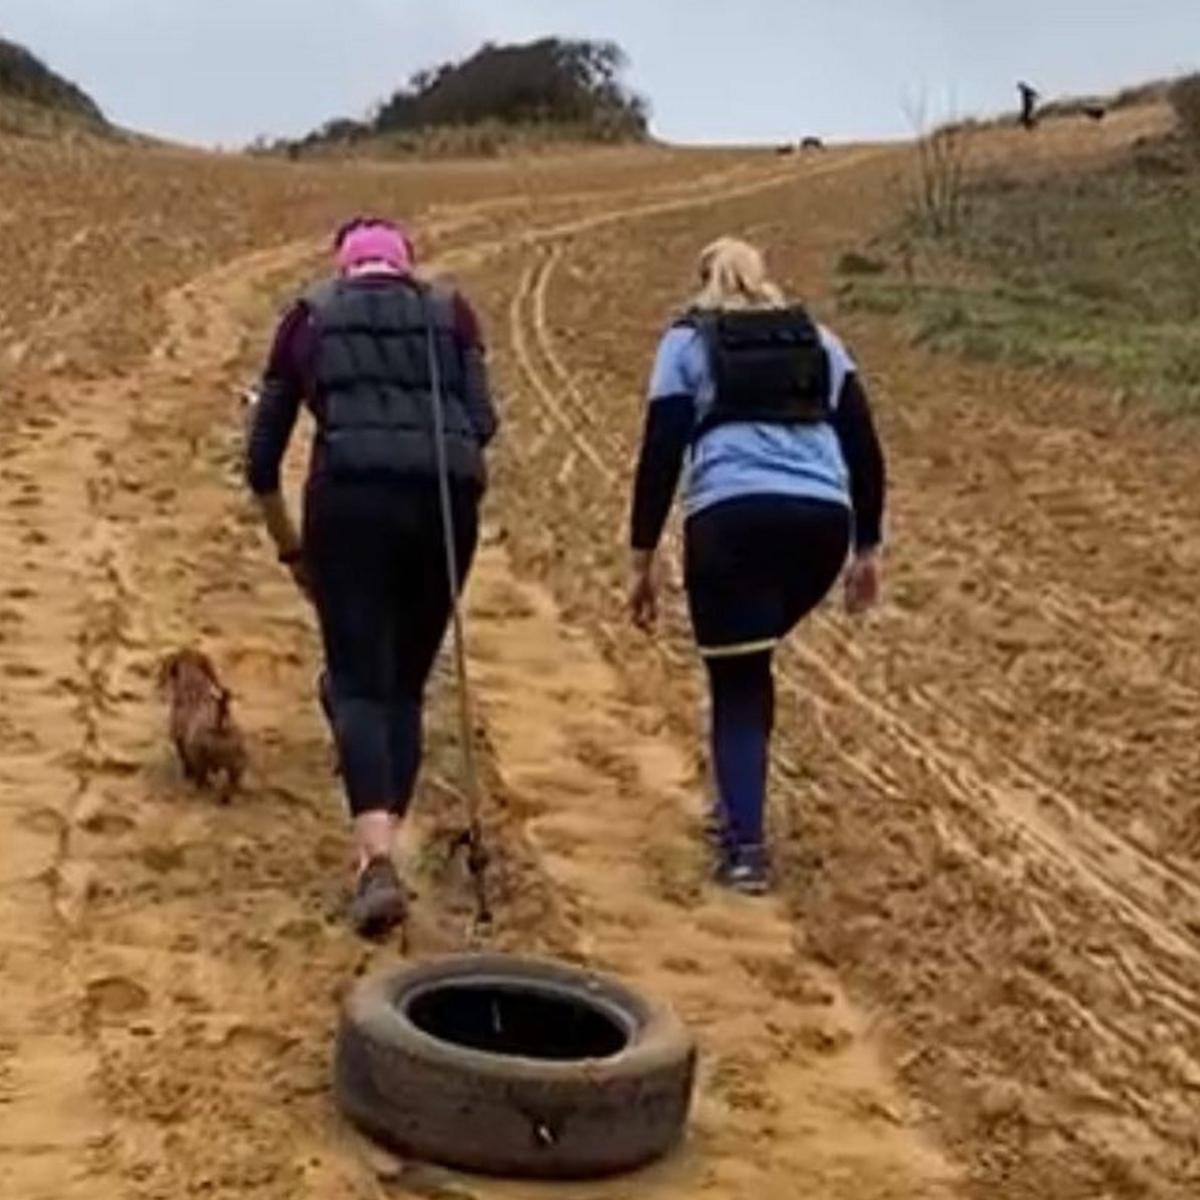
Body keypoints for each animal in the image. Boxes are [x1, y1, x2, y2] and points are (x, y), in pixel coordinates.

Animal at [158, 648, 247, 806]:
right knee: (230, 785)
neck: (193, 685)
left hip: (200, 759)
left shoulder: (179, 739)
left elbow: (185, 760)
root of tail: (220, 725)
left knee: (202, 779)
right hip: (237, 766)